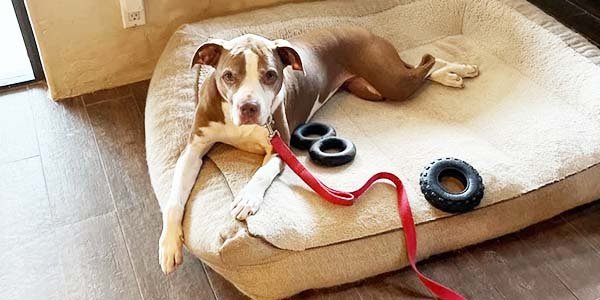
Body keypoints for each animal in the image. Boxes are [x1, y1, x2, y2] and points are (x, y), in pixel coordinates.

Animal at [158, 26, 478, 274]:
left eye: (270, 75)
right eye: (228, 76)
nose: (249, 107)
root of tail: (361, 30)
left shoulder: (280, 147)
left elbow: (261, 174)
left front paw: (247, 198)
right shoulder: (194, 149)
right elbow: (174, 198)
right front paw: (169, 245)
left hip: (390, 81)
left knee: (425, 65)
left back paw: (456, 70)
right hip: (374, 89)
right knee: (418, 68)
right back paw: (454, 72)